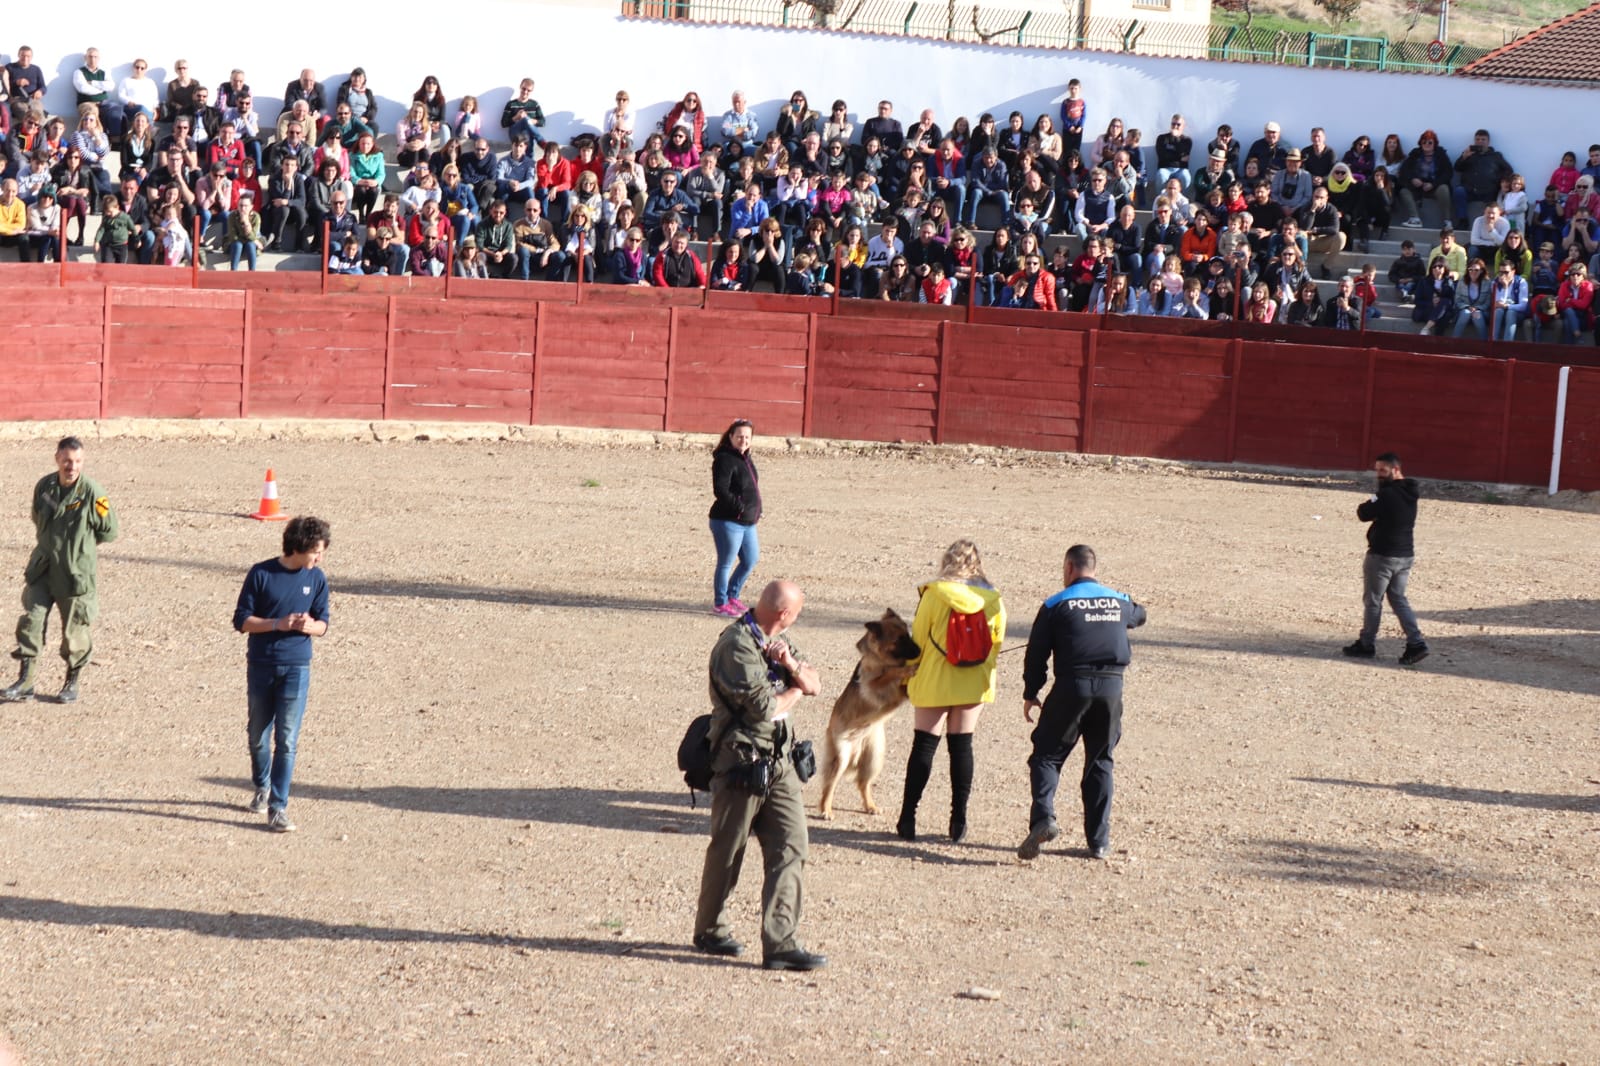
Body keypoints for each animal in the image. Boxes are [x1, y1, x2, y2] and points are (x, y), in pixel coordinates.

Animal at [819, 605, 921, 813]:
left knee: (863, 784)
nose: (919, 650)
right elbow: (890, 673)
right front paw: (905, 670)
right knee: (830, 785)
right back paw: (826, 809)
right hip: (841, 758)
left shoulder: (900, 692)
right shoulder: (872, 685)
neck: (882, 660)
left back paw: (870, 806)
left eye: (908, 635)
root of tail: (856, 749)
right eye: (899, 640)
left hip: (873, 758)